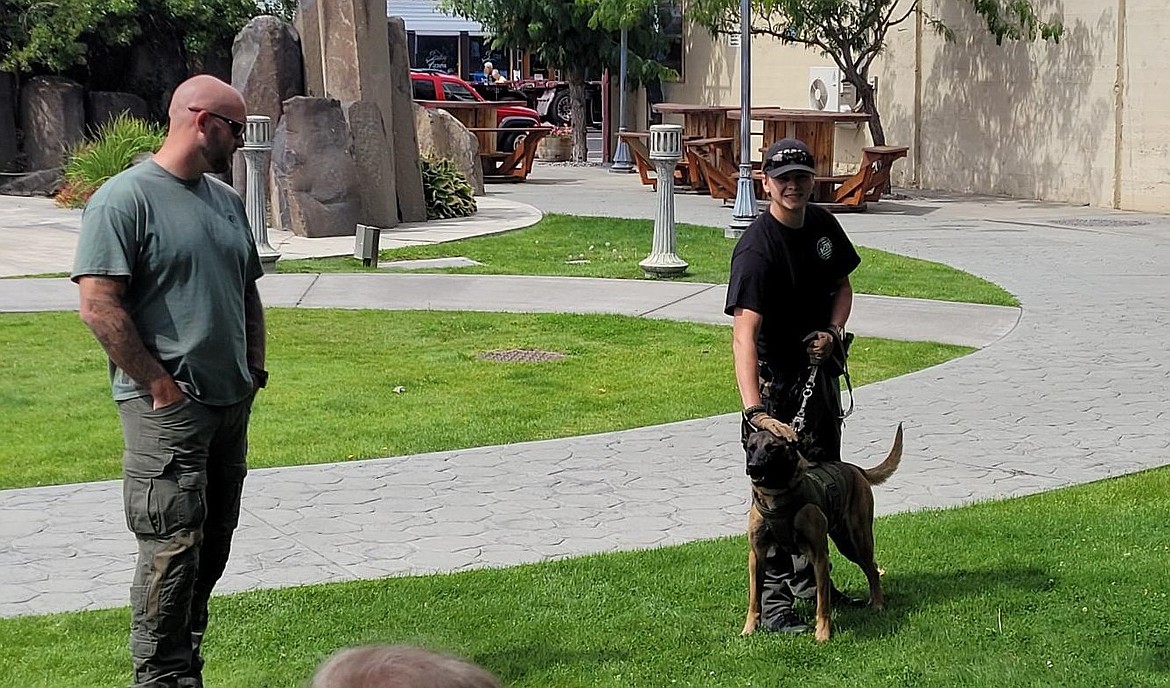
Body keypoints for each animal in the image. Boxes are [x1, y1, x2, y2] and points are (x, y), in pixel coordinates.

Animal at [739, 421, 903, 641]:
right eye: (751, 448)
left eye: (772, 448)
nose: (753, 467)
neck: (777, 493)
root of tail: (855, 468)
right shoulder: (757, 555)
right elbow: (754, 597)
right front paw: (749, 628)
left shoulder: (819, 555)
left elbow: (822, 601)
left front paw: (823, 633)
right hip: (846, 543)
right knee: (872, 568)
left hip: (857, 541)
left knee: (872, 569)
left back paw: (877, 603)